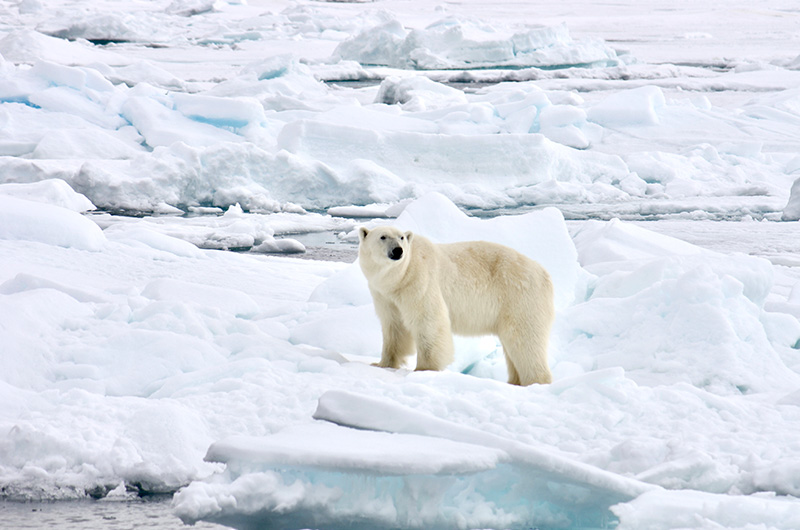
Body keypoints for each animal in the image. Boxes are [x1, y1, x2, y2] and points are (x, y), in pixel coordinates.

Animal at [360, 224, 552, 384]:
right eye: (383, 236)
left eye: (401, 237)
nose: (398, 251)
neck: (399, 278)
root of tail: (543, 272)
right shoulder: (385, 295)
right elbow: (394, 326)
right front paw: (381, 363)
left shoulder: (420, 281)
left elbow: (428, 320)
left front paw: (424, 369)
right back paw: (515, 381)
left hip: (519, 297)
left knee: (524, 339)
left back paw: (535, 381)